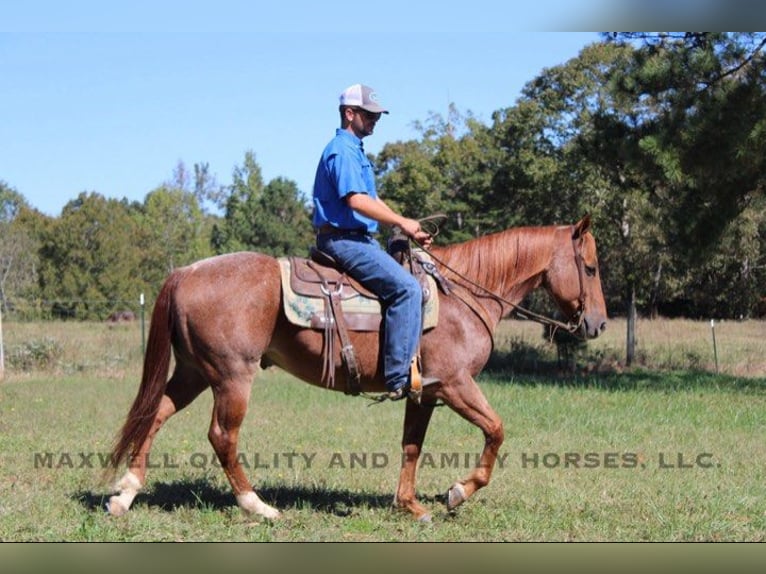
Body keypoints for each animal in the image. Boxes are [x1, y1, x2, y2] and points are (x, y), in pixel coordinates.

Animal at [105, 215, 607, 522]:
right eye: (591, 267)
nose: (599, 323)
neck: (463, 297)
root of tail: (186, 272)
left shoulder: (426, 393)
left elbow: (411, 447)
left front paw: (409, 505)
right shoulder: (456, 385)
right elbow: (497, 431)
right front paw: (457, 492)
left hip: (193, 371)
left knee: (155, 415)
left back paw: (125, 494)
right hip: (231, 376)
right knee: (222, 436)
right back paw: (257, 506)